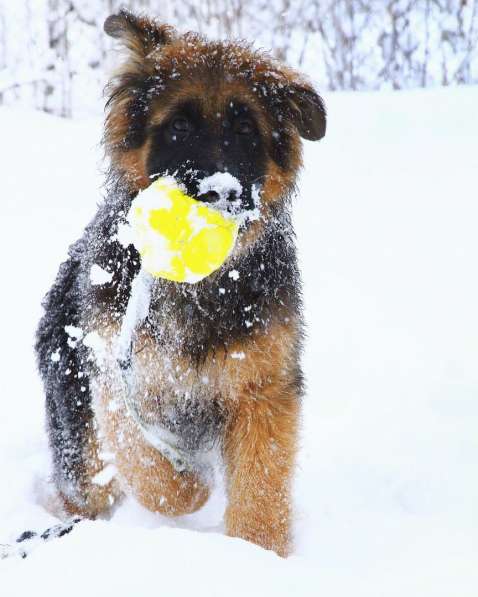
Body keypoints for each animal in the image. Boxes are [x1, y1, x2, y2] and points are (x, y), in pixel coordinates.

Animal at [35, 11, 326, 556]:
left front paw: (257, 554)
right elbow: (147, 466)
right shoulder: (119, 376)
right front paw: (190, 488)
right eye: (180, 126)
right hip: (78, 433)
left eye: (245, 130)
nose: (220, 193)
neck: (198, 286)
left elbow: (262, 484)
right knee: (86, 485)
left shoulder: (263, 389)